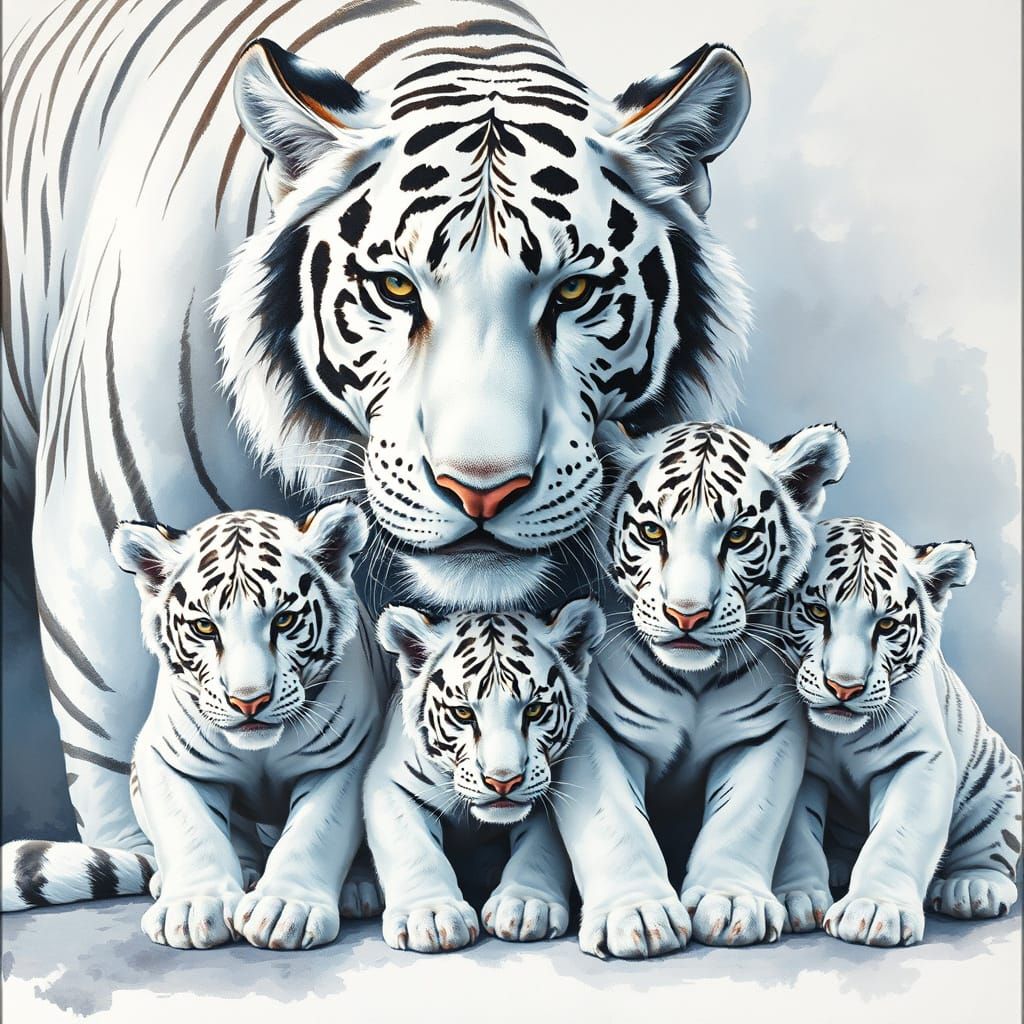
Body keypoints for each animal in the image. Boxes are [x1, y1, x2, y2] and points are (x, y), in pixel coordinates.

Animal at [3, 502, 392, 952]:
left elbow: (314, 832)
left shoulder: (342, 758)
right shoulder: (165, 759)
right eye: (205, 627)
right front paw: (194, 909)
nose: (249, 700)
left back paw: (359, 889)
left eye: (284, 621)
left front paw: (283, 909)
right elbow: (191, 831)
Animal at [364, 599, 604, 953]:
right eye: (463, 713)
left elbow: (541, 848)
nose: (503, 780)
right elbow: (413, 847)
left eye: (534, 710)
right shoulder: (388, 783)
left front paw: (526, 905)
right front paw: (431, 916)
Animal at [551, 420, 851, 959]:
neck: (694, 677)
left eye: (737, 535)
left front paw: (732, 905)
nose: (686, 615)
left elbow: (744, 819)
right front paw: (637, 916)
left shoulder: (764, 734)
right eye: (653, 532)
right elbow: (615, 822)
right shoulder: (597, 734)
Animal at [772, 516, 1023, 947]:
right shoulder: (804, 769)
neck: (841, 737)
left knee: (990, 852)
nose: (844, 688)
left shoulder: (919, 758)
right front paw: (796, 898)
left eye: (886, 624)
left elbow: (898, 835)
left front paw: (874, 910)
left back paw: (973, 888)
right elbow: (796, 835)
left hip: (997, 785)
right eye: (818, 612)